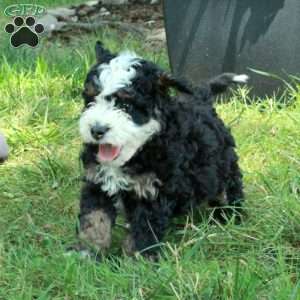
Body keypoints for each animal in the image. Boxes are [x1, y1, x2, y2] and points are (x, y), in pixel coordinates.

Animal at [76, 41, 247, 258]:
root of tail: (201, 98)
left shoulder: (153, 192)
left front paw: (137, 259)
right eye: (90, 100)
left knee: (228, 188)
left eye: (126, 106)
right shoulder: (96, 181)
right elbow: (94, 219)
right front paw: (86, 253)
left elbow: (143, 229)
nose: (97, 130)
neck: (137, 153)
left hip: (224, 164)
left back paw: (232, 216)